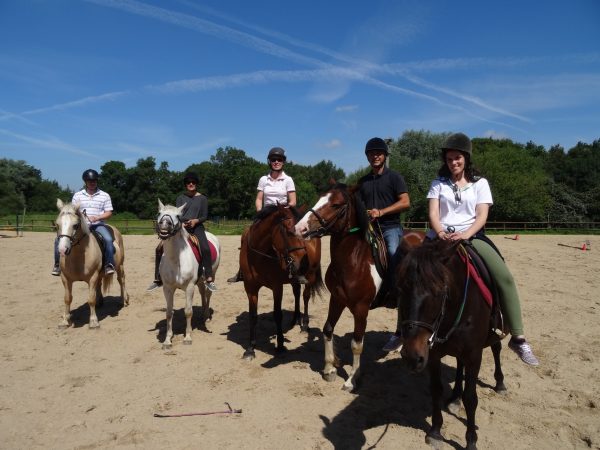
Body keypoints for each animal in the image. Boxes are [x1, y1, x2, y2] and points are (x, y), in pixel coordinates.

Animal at [54, 199, 129, 328]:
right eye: (57, 225)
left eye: (75, 225)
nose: (63, 250)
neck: (78, 257)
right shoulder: (65, 278)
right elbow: (67, 298)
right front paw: (65, 320)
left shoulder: (92, 277)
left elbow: (91, 299)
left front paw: (93, 321)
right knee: (100, 284)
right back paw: (100, 302)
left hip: (120, 266)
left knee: (121, 280)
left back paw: (123, 300)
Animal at [155, 200, 220, 352]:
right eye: (159, 213)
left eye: (178, 216)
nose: (165, 224)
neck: (176, 260)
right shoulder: (167, 288)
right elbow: (169, 313)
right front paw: (167, 341)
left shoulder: (189, 287)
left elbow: (188, 311)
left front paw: (188, 338)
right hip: (200, 281)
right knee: (202, 292)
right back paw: (203, 314)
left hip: (212, 275)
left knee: (208, 293)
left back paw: (207, 316)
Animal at [239, 203, 324, 358]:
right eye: (289, 232)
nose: (303, 263)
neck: (259, 256)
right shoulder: (250, 288)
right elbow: (253, 316)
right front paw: (250, 348)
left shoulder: (277, 287)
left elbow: (277, 314)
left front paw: (280, 345)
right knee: (297, 293)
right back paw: (295, 319)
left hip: (310, 276)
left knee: (305, 296)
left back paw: (305, 325)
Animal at [294, 183, 424, 390]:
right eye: (320, 197)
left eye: (336, 204)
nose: (300, 228)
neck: (353, 261)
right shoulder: (337, 299)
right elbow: (327, 329)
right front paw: (329, 369)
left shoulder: (361, 309)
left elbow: (356, 344)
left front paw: (352, 379)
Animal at [398, 239, 506, 450]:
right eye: (402, 288)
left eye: (439, 292)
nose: (411, 358)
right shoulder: (432, 355)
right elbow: (436, 390)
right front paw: (435, 431)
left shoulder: (474, 355)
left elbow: (471, 398)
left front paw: (471, 440)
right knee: (458, 364)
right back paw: (455, 396)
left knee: (496, 349)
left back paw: (499, 383)